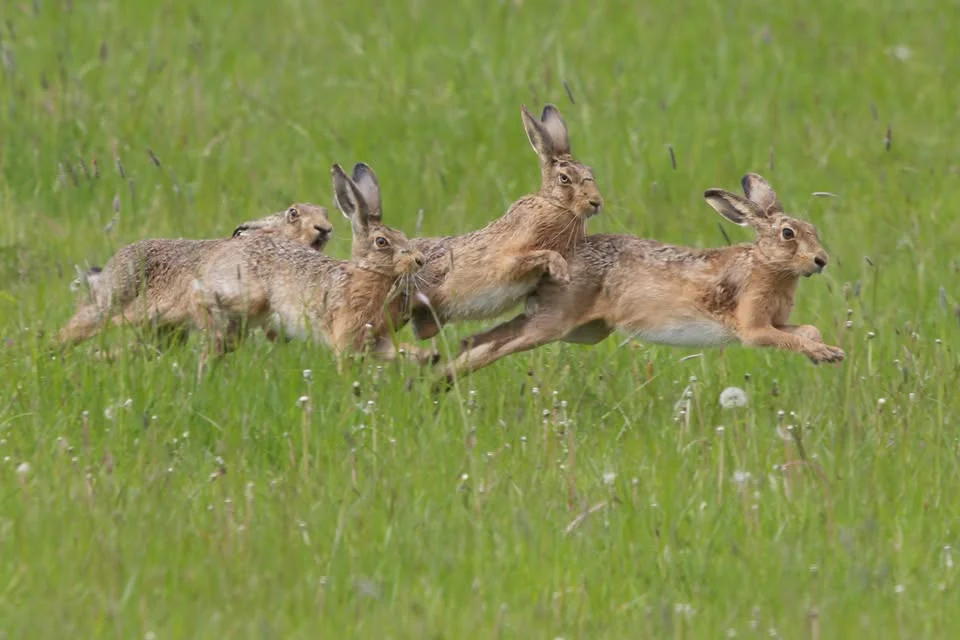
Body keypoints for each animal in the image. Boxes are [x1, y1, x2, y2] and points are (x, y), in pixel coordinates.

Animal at [189, 163, 431, 365]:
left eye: (403, 235)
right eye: (382, 242)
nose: (420, 260)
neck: (365, 273)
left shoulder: (376, 340)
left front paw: (429, 358)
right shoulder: (347, 336)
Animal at [401, 103, 603, 341]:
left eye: (590, 172)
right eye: (565, 178)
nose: (596, 202)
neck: (554, 204)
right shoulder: (507, 262)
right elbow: (539, 256)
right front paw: (561, 272)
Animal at [437, 173, 846, 385]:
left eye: (813, 230)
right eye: (788, 234)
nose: (821, 261)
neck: (767, 265)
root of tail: (560, 254)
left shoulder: (776, 321)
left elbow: (805, 329)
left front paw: (828, 352)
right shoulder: (753, 327)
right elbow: (785, 339)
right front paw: (824, 354)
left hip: (584, 330)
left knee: (490, 336)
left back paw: (440, 372)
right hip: (556, 321)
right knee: (499, 343)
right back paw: (444, 378)